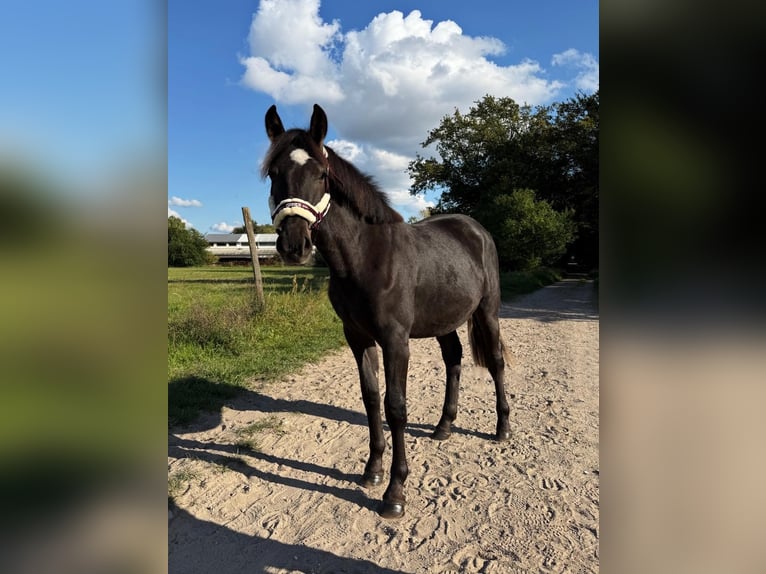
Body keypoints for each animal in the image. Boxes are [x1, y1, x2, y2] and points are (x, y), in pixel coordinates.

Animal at [262, 104, 512, 519]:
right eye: (273, 173)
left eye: (320, 174)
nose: (294, 245)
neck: (365, 257)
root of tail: (476, 230)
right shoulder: (357, 337)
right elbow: (370, 398)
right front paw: (372, 471)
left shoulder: (396, 341)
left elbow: (396, 407)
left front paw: (395, 492)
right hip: (443, 319)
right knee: (454, 358)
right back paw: (444, 426)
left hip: (487, 313)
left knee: (494, 362)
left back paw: (503, 428)